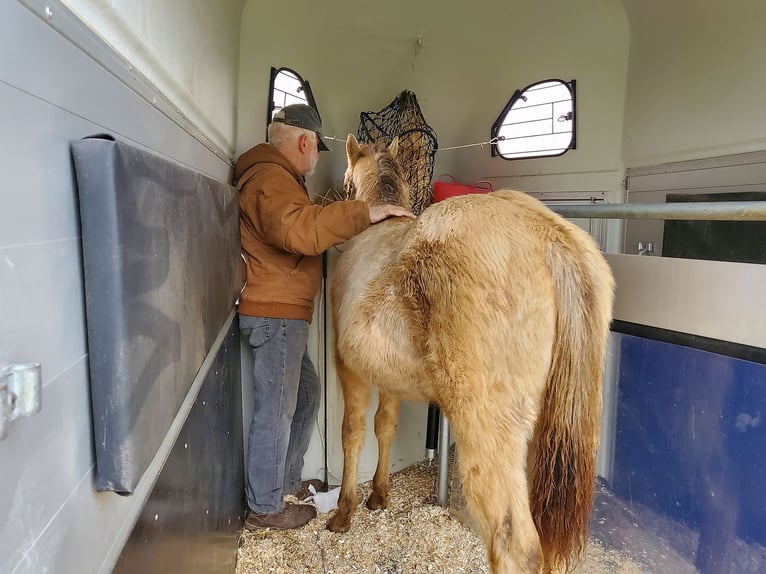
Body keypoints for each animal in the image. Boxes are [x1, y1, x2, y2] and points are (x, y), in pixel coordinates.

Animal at [326, 134, 615, 574]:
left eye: (346, 180)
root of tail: (546, 235)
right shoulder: (387, 379)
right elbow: (385, 426)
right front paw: (379, 495)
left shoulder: (349, 370)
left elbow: (353, 433)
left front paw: (344, 511)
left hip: (488, 432)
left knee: (514, 543)